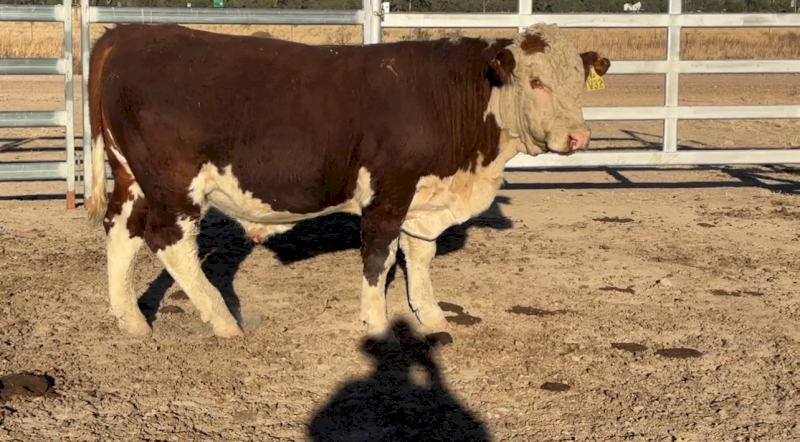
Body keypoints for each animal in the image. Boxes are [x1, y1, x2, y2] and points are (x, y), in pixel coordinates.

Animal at [85, 23, 611, 339]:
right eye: (536, 81)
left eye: (578, 81)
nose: (579, 136)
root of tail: (129, 32)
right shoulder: (388, 191)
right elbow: (379, 257)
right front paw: (376, 324)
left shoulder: (425, 199)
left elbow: (420, 257)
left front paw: (430, 315)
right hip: (174, 184)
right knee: (168, 241)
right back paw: (222, 320)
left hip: (132, 177)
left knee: (120, 231)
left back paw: (130, 319)